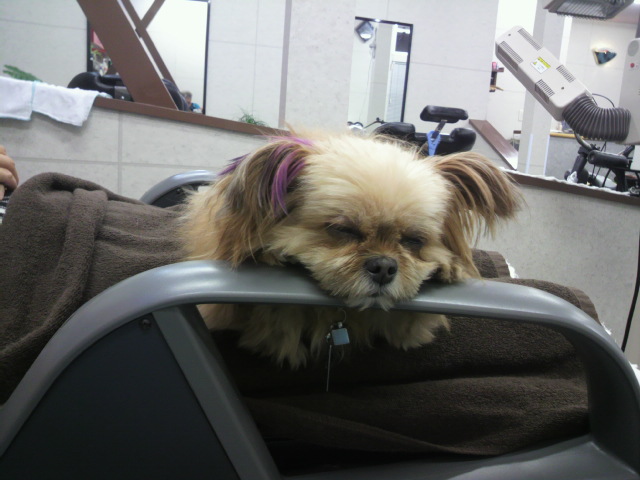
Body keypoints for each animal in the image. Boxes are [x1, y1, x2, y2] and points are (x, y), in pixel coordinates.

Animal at [179, 132, 521, 367]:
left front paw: (449, 267)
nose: (384, 267)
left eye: (413, 240)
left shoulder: (406, 332)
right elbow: (272, 316)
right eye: (344, 230)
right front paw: (270, 257)